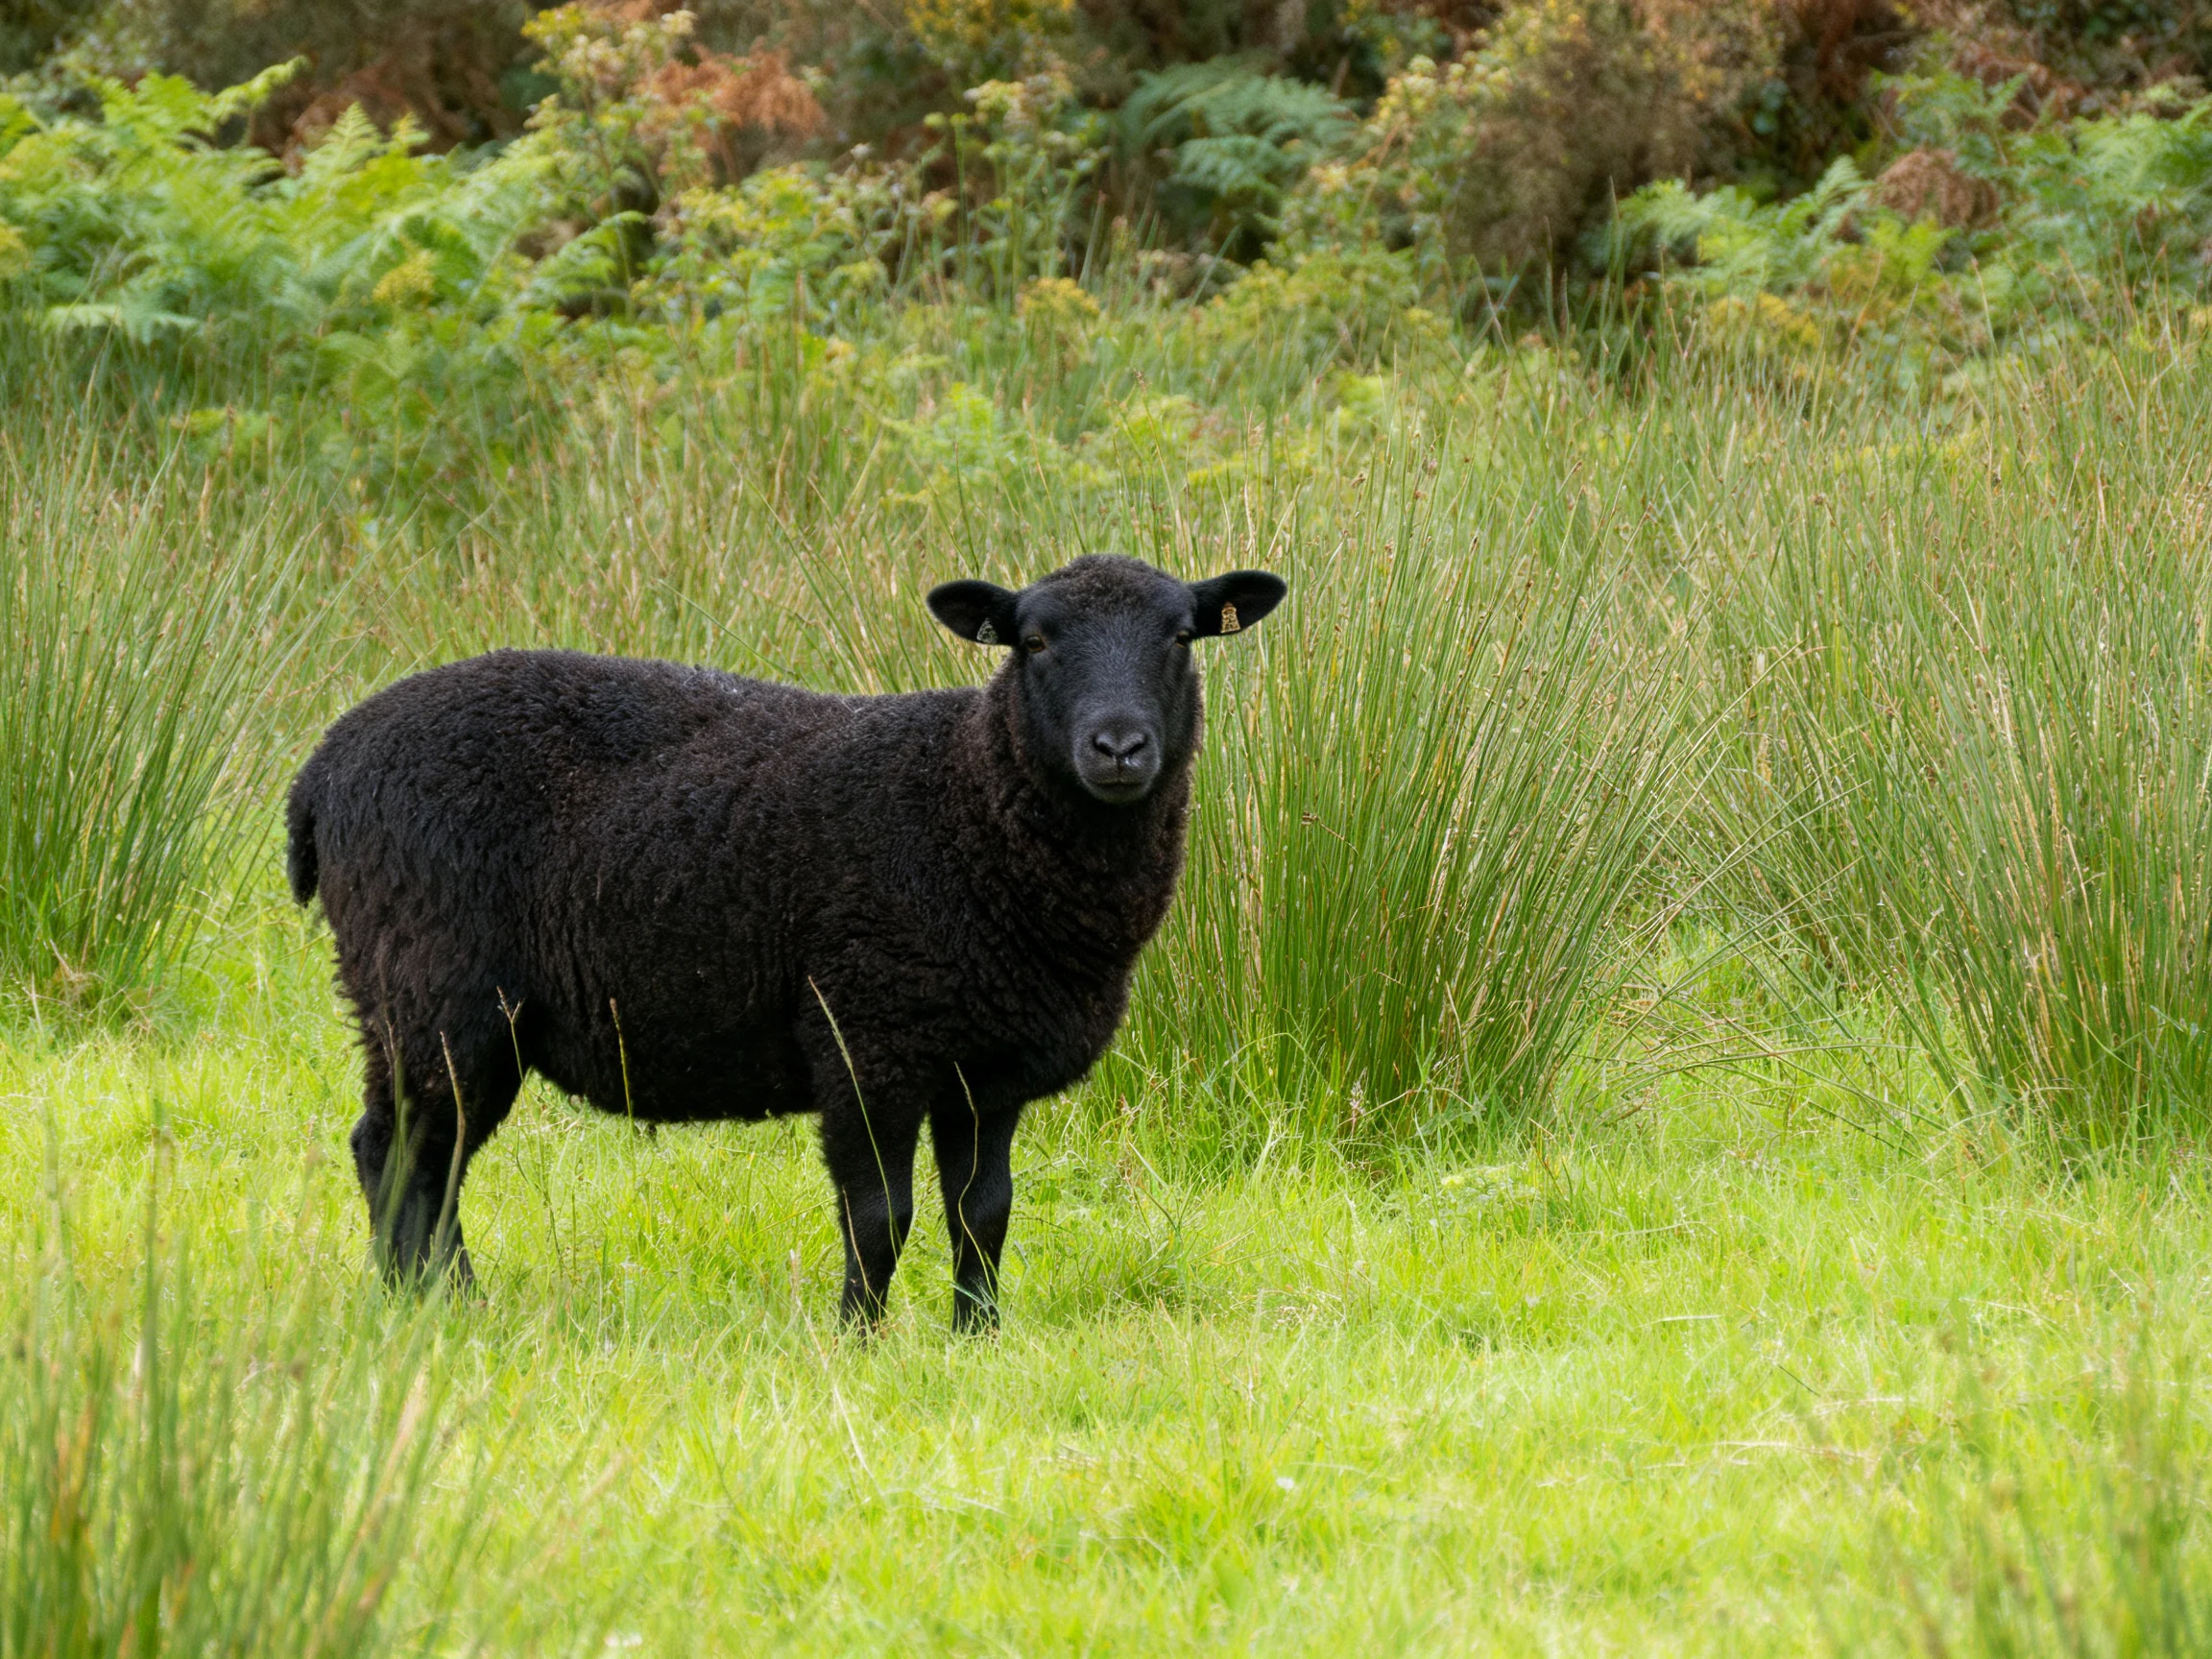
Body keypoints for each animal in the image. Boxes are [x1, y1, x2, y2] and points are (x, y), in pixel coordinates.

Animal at [286, 554, 1286, 1329]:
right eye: (1032, 643)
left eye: (1181, 637)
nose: (1118, 747)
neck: (966, 802)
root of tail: (323, 770)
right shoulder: (864, 1038)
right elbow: (879, 1215)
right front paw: (860, 1340)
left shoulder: (985, 1070)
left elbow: (984, 1214)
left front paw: (977, 1338)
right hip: (431, 989)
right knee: (397, 1151)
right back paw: (432, 1307)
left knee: (429, 1156)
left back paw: (442, 1305)